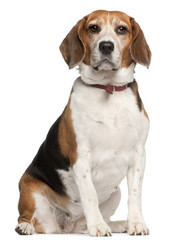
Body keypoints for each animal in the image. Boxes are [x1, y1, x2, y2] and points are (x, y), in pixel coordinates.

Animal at [15, 9, 151, 236]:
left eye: (122, 29)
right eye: (93, 28)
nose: (106, 46)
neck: (108, 89)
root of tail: (66, 228)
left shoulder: (138, 155)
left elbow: (135, 194)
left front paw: (136, 223)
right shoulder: (80, 156)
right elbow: (90, 195)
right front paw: (98, 227)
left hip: (115, 193)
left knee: (90, 223)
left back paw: (118, 224)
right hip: (29, 188)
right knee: (30, 219)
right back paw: (26, 227)